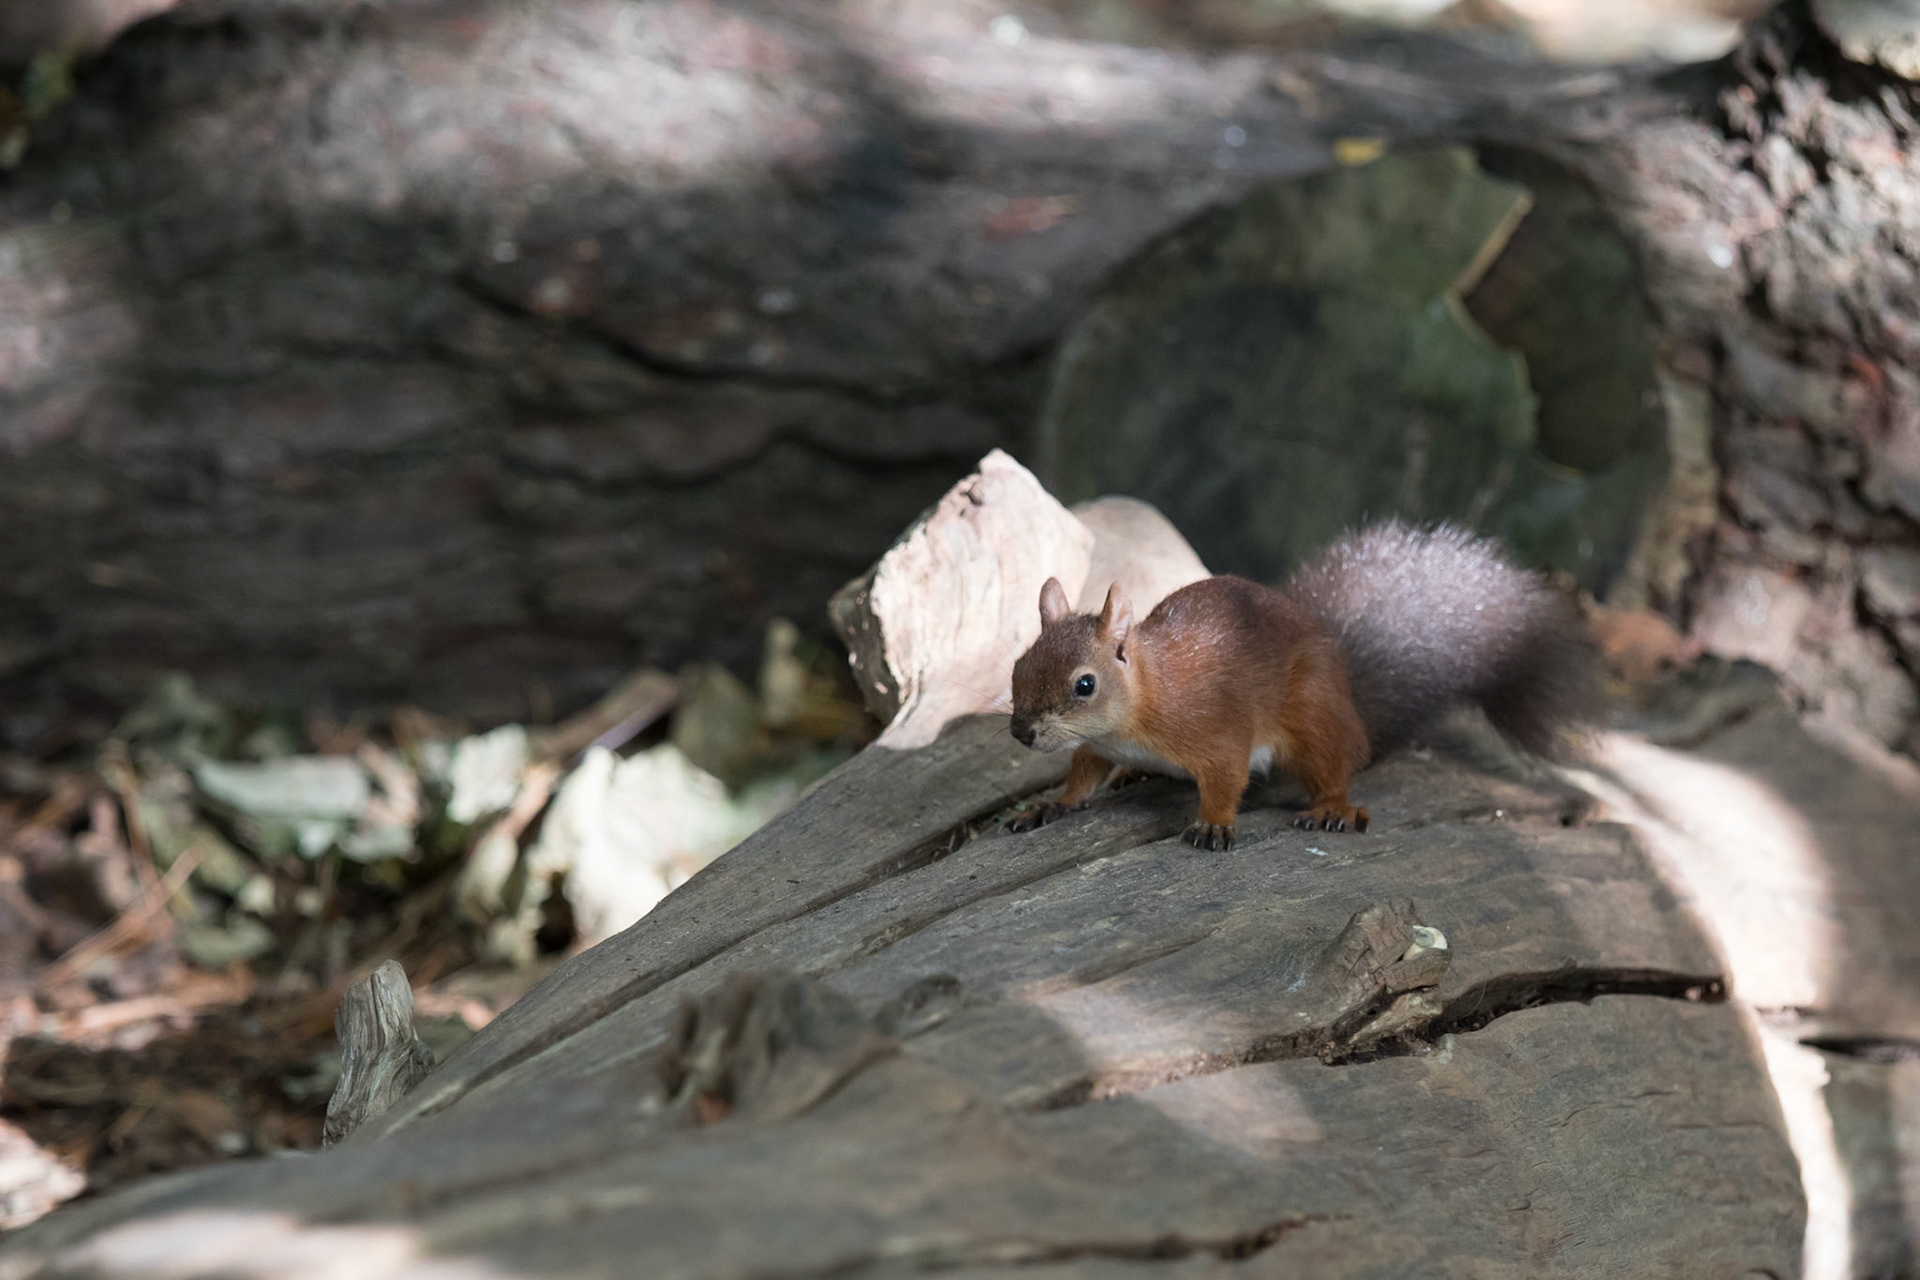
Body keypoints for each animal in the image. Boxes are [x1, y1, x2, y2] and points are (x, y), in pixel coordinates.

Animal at [1005, 520, 1603, 850]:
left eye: (1085, 684)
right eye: (1017, 665)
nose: (1021, 733)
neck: (1139, 708)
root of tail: (1352, 704)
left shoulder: (1213, 728)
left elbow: (1226, 777)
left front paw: (1213, 824)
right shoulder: (1097, 745)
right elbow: (1082, 775)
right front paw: (1049, 805)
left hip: (1313, 716)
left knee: (1336, 765)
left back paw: (1333, 808)